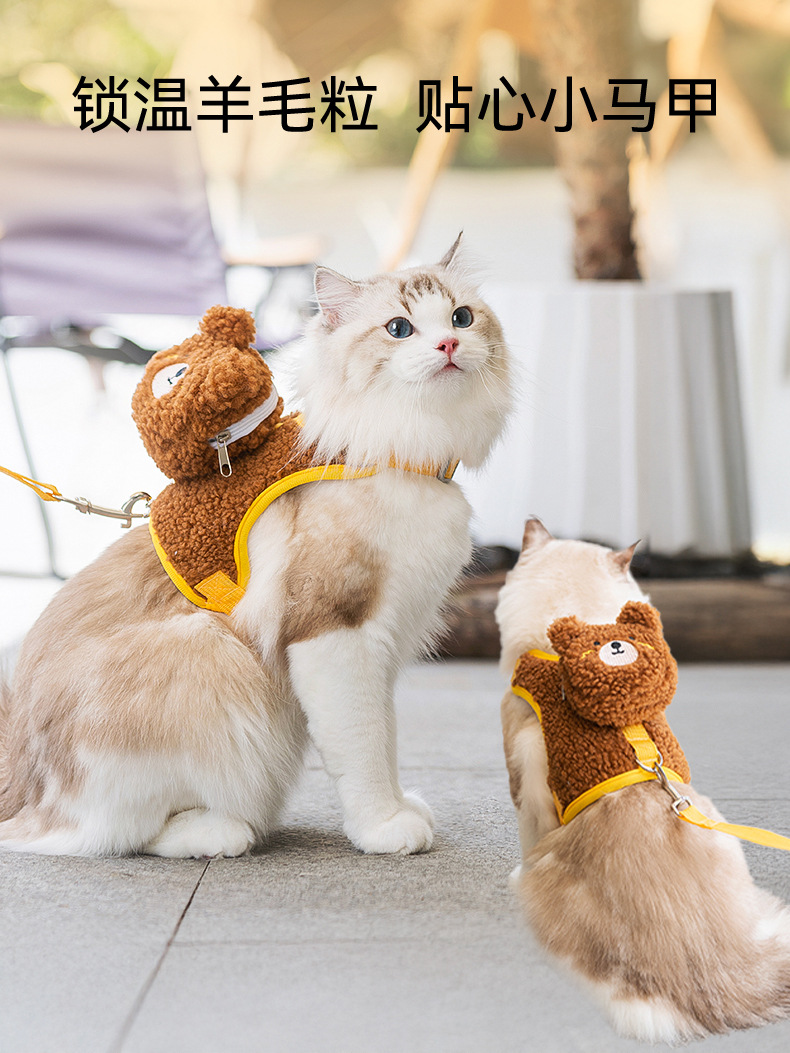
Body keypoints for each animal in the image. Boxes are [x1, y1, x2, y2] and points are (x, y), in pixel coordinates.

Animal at [0, 236, 511, 858]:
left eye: (462, 317)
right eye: (399, 328)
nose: (449, 343)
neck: (396, 452)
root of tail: (19, 787)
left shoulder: (386, 642)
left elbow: (386, 738)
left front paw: (400, 808)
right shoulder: (334, 632)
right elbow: (363, 747)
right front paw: (384, 828)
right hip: (208, 652)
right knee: (109, 831)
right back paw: (221, 832)